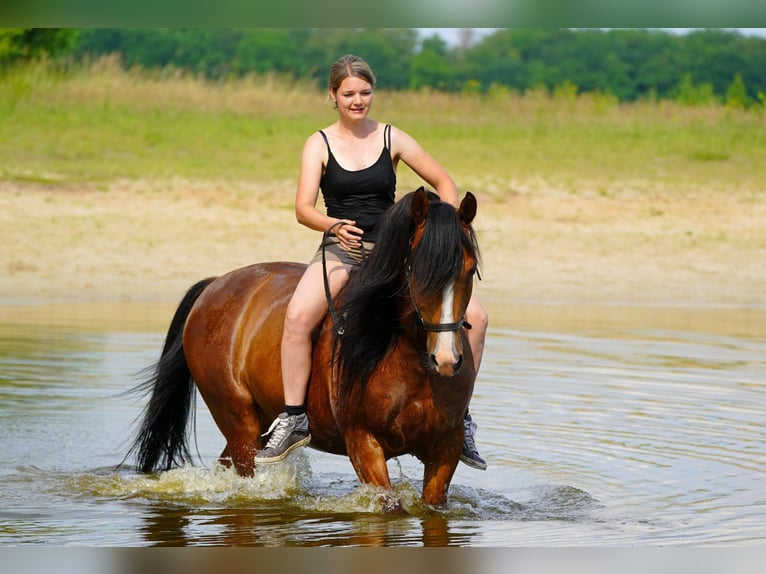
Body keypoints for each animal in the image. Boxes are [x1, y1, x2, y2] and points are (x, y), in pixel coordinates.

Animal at [125, 187, 480, 508]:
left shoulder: (446, 447)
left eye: (469, 268)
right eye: (416, 270)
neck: (408, 357)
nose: (445, 359)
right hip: (237, 419)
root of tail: (215, 285)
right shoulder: (364, 443)